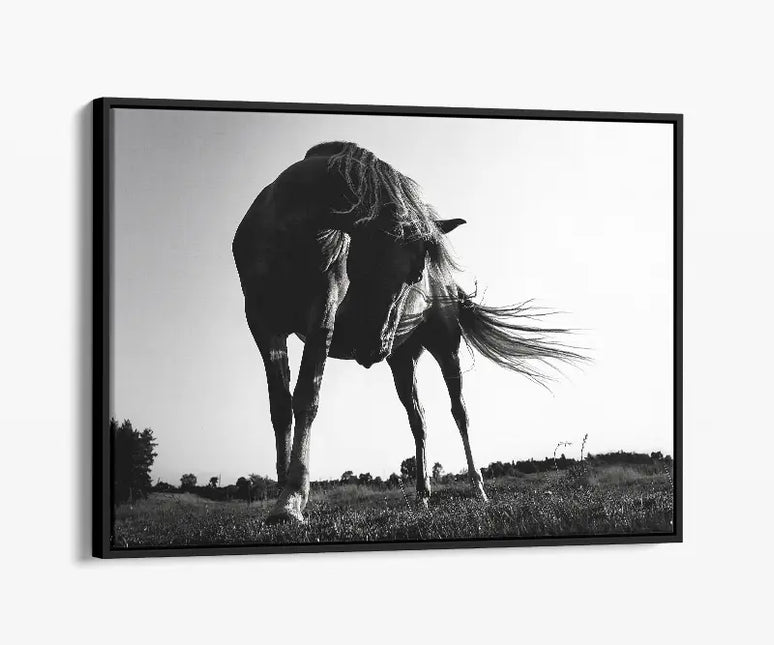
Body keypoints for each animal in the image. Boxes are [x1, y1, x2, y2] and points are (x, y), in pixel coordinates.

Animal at [233, 141, 582, 523]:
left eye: (416, 274)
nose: (372, 346)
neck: (289, 231)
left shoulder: (321, 315)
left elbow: (306, 397)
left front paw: (294, 500)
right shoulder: (261, 323)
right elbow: (280, 406)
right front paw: (282, 495)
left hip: (446, 348)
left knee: (460, 412)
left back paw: (477, 489)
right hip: (402, 359)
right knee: (419, 419)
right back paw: (422, 496)